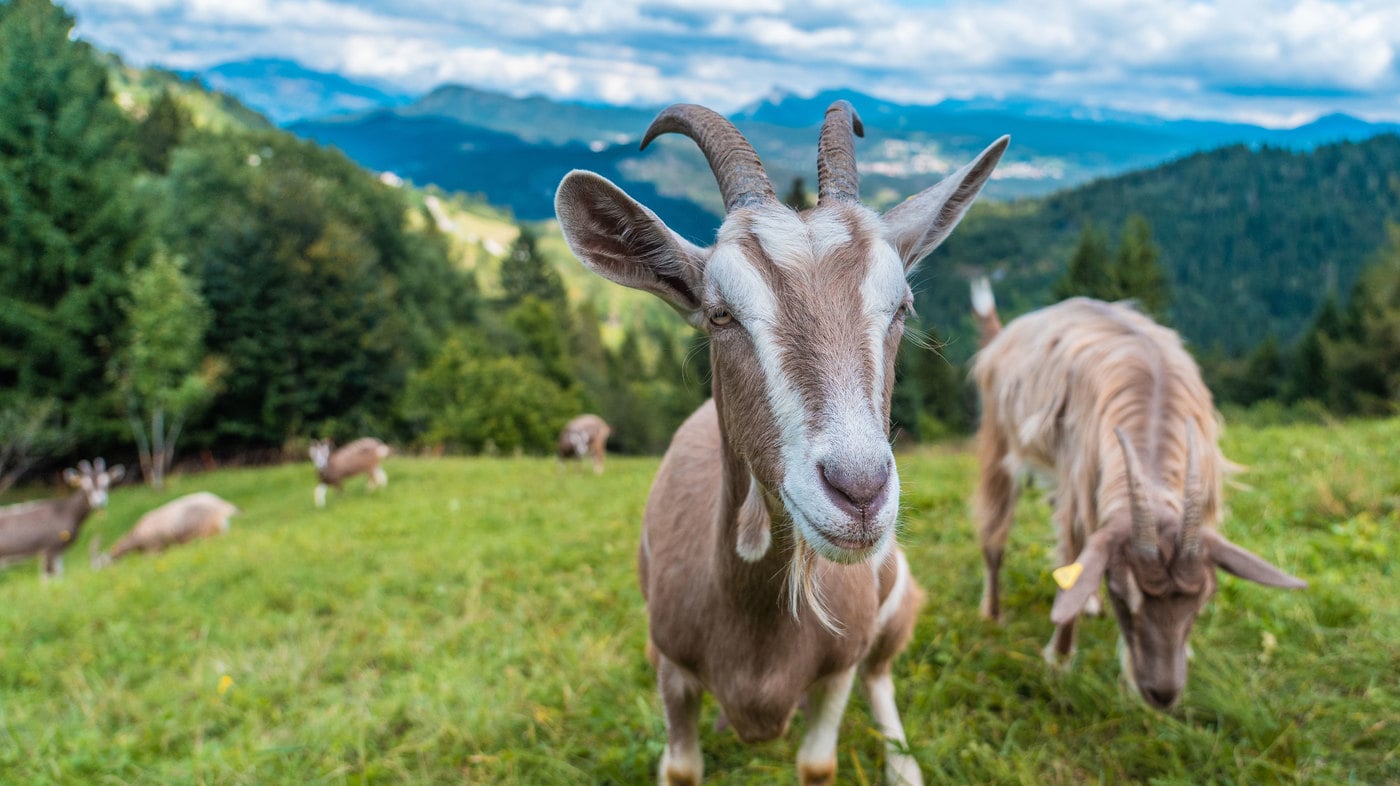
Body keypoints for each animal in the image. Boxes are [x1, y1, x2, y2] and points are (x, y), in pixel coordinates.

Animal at [554, 102, 1008, 784]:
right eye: (720, 314)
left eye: (902, 306)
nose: (859, 491)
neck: (757, 634)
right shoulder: (671, 664)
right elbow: (681, 767)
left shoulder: (838, 668)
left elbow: (819, 761)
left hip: (895, 607)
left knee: (882, 676)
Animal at [968, 283, 1304, 711]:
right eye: (1123, 595)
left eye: (1203, 599)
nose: (1163, 694)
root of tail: (1003, 335)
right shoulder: (1081, 485)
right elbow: (1071, 552)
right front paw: (1059, 660)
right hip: (1000, 440)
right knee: (996, 534)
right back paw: (994, 614)